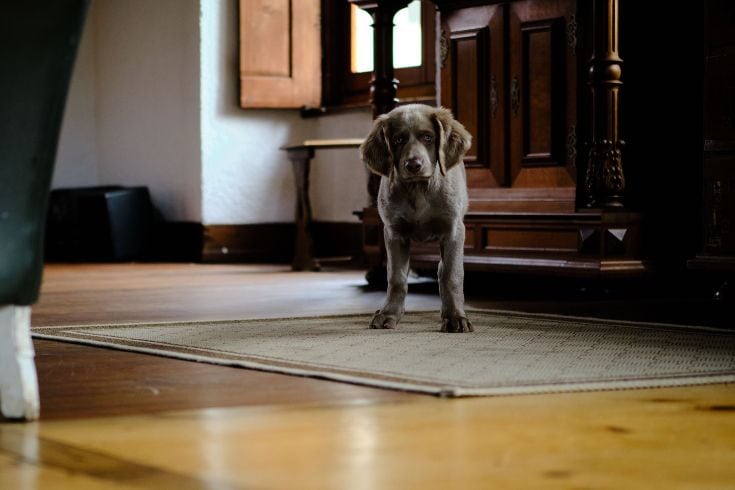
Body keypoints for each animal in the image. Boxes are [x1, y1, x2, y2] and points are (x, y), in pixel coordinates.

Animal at [360, 103, 474, 334]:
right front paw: (389, 314)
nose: (413, 164)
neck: (418, 188)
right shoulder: (394, 233)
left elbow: (451, 274)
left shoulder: (453, 231)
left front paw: (455, 317)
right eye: (398, 140)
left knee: (443, 270)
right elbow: (396, 277)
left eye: (428, 137)